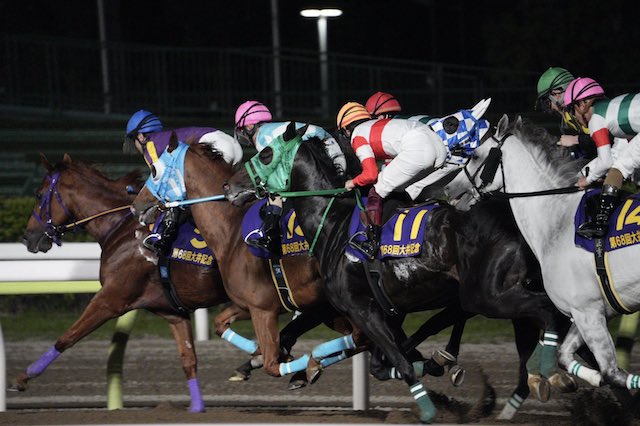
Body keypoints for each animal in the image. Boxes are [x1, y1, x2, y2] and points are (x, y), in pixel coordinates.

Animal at [20, 154, 245, 412]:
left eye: (39, 194)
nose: (28, 237)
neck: (121, 227)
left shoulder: (110, 298)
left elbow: (68, 337)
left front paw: (25, 376)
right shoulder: (171, 311)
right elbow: (188, 359)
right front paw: (197, 407)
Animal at [222, 124, 568, 422]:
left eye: (266, 154)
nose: (230, 185)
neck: (333, 224)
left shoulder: (361, 309)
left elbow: (401, 362)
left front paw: (428, 409)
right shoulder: (388, 311)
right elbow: (389, 360)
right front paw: (432, 365)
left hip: (484, 294)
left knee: (548, 310)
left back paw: (549, 371)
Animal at [442, 115, 640, 392]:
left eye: (476, 156)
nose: (449, 189)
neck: (559, 220)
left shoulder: (588, 312)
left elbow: (613, 372)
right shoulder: (587, 311)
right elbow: (566, 356)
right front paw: (579, 378)